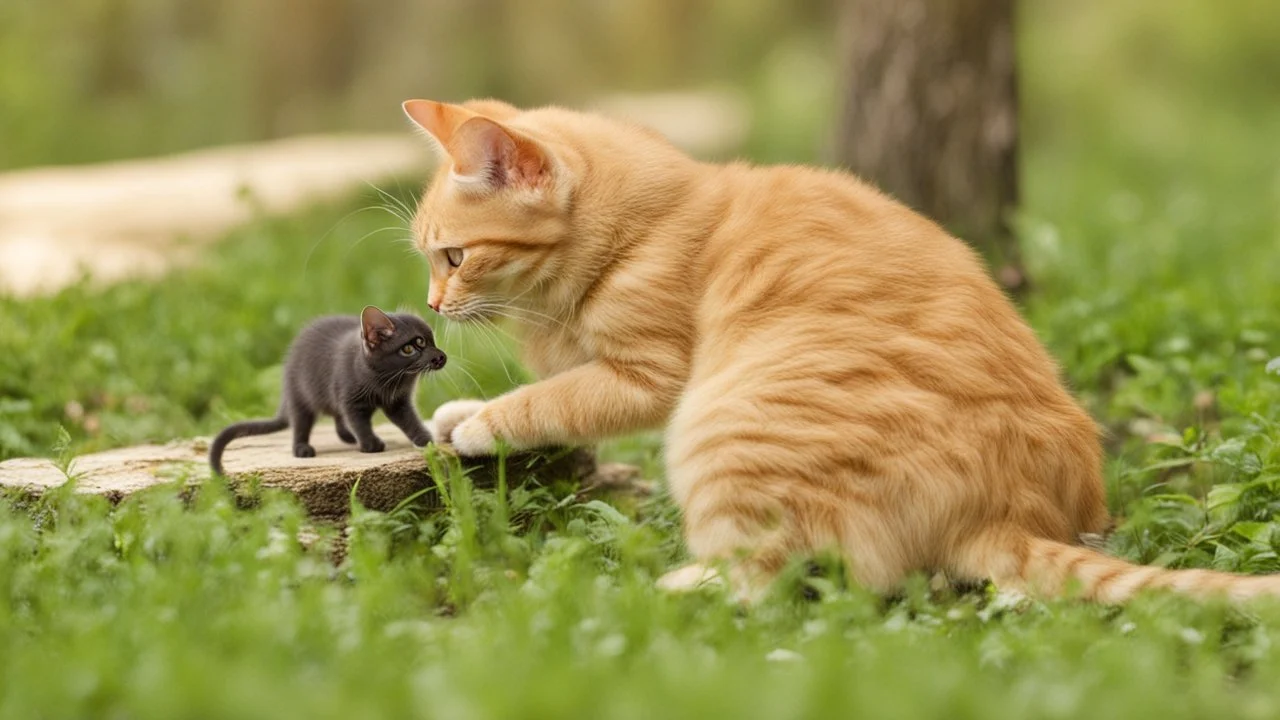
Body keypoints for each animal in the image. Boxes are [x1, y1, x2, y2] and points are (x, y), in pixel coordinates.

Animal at [209, 304, 445, 474]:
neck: (386, 381)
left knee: (337, 419)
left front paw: (424, 438)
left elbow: (408, 419)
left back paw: (348, 437)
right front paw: (370, 443)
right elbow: (359, 422)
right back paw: (302, 449)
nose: (441, 356)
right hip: (301, 395)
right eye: (411, 348)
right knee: (301, 424)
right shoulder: (351, 399)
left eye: (432, 340)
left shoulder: (398, 402)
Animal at [401, 95, 1280, 599]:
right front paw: (462, 407)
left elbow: (555, 397)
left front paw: (482, 421)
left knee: (790, 582)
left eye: (453, 257)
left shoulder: (647, 376)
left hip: (721, 426)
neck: (640, 231)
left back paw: (669, 585)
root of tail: (1009, 512)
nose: (432, 305)